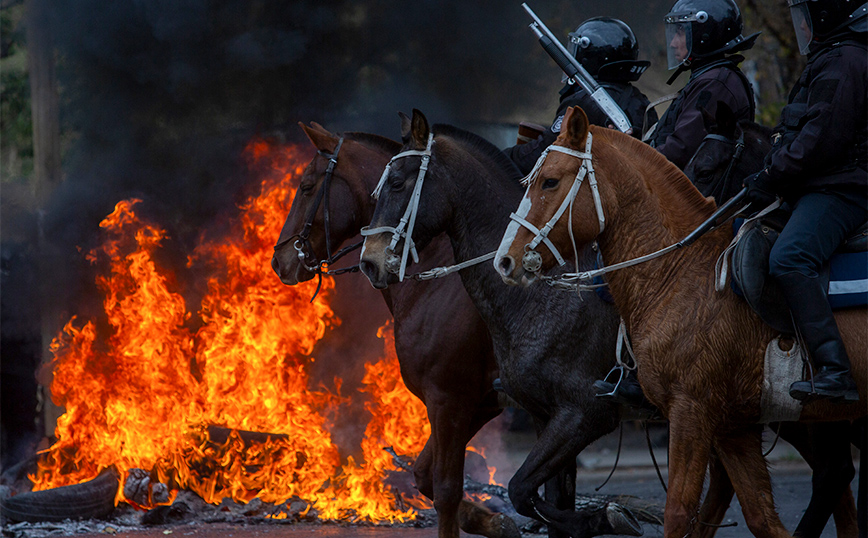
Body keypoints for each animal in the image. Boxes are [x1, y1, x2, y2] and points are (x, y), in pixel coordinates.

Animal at [272, 121, 516, 536]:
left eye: (306, 186)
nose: (280, 260)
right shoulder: (480, 402)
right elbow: (424, 475)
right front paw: (493, 520)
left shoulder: (450, 399)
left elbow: (446, 488)